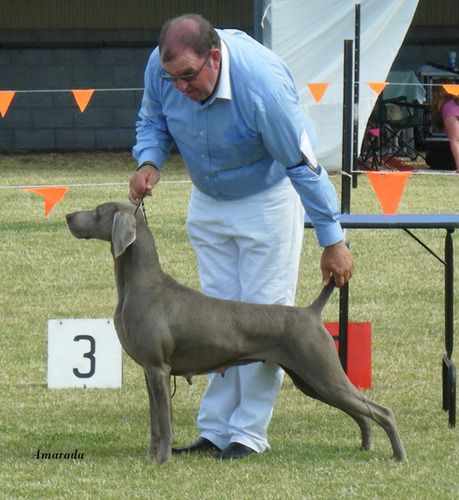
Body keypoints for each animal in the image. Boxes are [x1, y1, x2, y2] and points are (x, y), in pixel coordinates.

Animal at [65, 201, 406, 462]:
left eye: (97, 211)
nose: (68, 216)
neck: (138, 285)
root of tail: (310, 312)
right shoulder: (150, 372)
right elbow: (155, 423)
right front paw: (151, 456)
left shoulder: (158, 367)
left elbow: (164, 423)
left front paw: (161, 460)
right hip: (310, 380)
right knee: (361, 412)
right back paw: (365, 446)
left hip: (322, 372)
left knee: (382, 411)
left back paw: (398, 455)